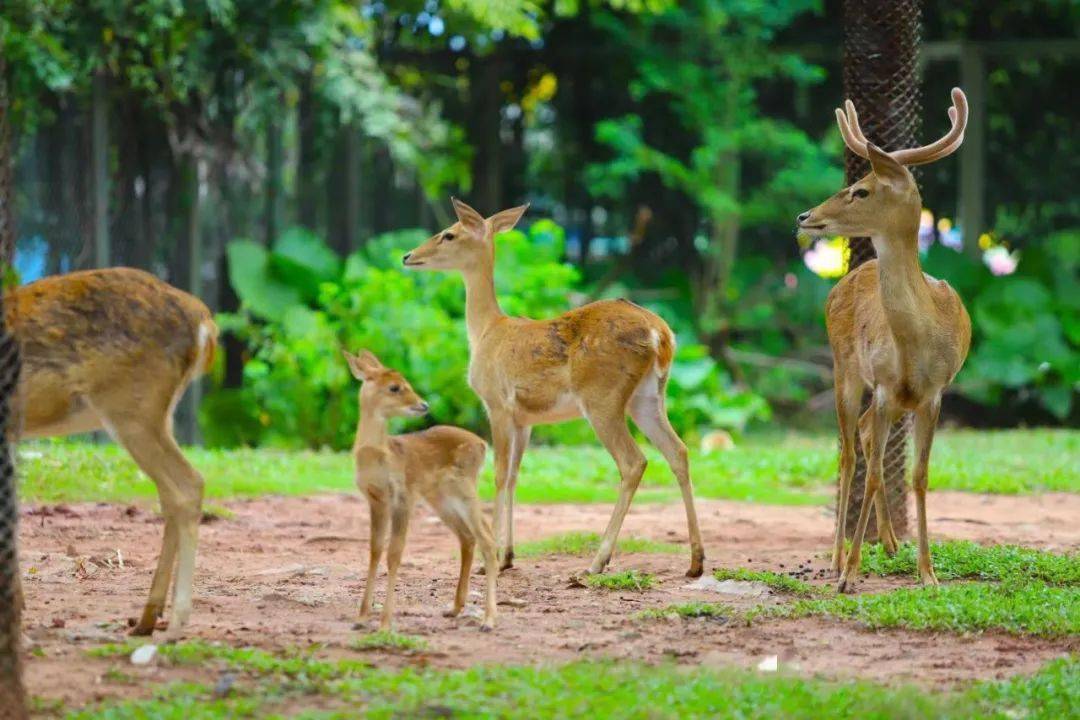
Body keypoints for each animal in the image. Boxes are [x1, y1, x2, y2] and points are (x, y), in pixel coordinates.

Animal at [6, 268, 217, 634]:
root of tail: (203, 320)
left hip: (132, 407)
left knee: (188, 484)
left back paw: (176, 622)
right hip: (156, 413)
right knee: (172, 495)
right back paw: (147, 618)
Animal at [345, 349, 496, 630]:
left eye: (406, 382)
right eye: (394, 387)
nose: (424, 405)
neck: (380, 456)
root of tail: (482, 444)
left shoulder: (402, 497)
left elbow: (394, 553)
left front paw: (385, 623)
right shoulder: (375, 499)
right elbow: (375, 549)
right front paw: (361, 617)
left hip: (465, 488)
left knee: (488, 539)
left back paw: (489, 619)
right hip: (441, 498)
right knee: (468, 537)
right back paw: (455, 608)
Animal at [401, 198, 704, 578]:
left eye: (449, 234)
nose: (408, 255)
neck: (486, 331)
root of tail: (660, 334)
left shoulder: (497, 404)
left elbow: (497, 475)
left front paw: (489, 561)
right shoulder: (525, 420)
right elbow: (514, 476)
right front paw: (508, 555)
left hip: (602, 397)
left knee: (634, 461)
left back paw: (597, 561)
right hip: (648, 396)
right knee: (678, 451)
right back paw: (695, 562)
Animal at [799, 88, 976, 591]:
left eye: (861, 190)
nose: (806, 216)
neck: (918, 342)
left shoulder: (933, 393)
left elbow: (919, 475)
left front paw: (928, 573)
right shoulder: (879, 387)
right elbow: (877, 472)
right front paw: (849, 573)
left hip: (894, 402)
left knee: (860, 438)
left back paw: (893, 543)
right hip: (845, 369)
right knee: (848, 453)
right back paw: (837, 557)